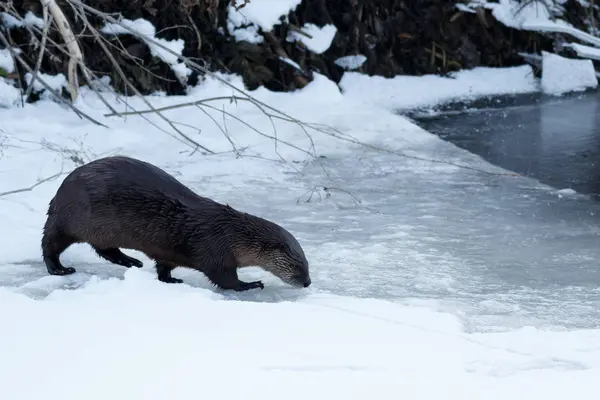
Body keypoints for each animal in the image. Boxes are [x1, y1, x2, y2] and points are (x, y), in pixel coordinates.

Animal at [41, 155, 314, 290]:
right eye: (295, 265)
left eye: (307, 263)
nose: (308, 282)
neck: (231, 235)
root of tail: (60, 191)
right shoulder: (215, 251)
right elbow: (224, 278)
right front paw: (251, 284)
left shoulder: (168, 252)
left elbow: (164, 267)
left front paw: (170, 280)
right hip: (71, 220)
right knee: (50, 243)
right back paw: (59, 269)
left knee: (104, 249)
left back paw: (130, 261)